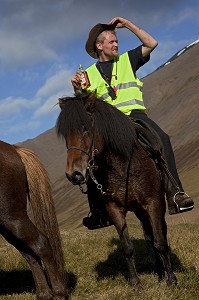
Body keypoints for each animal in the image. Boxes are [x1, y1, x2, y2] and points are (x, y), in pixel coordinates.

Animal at [0, 141, 68, 300]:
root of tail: (14, 149)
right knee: (30, 255)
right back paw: (44, 294)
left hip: (13, 218)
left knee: (41, 244)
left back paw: (59, 293)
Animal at [56, 93, 177, 286]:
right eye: (66, 134)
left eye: (85, 128)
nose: (73, 174)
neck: (122, 166)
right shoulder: (114, 209)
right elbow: (127, 247)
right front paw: (135, 282)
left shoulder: (153, 203)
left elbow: (160, 241)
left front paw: (171, 279)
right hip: (139, 210)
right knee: (149, 235)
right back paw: (159, 270)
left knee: (159, 233)